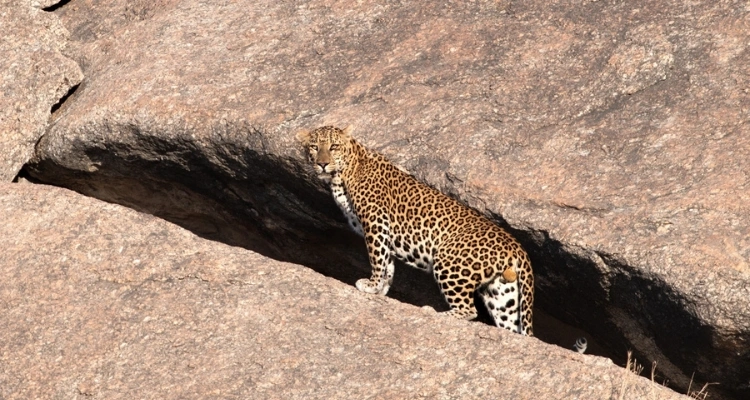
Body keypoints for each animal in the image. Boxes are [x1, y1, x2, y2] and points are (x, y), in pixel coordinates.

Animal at [297, 125, 534, 336]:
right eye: (314, 147)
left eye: (334, 146)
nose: (322, 164)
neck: (344, 173)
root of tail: (517, 246)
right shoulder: (383, 232)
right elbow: (387, 264)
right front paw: (380, 290)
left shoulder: (375, 222)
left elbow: (377, 258)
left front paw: (371, 285)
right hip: (503, 294)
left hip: (449, 262)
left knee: (468, 310)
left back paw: (434, 312)